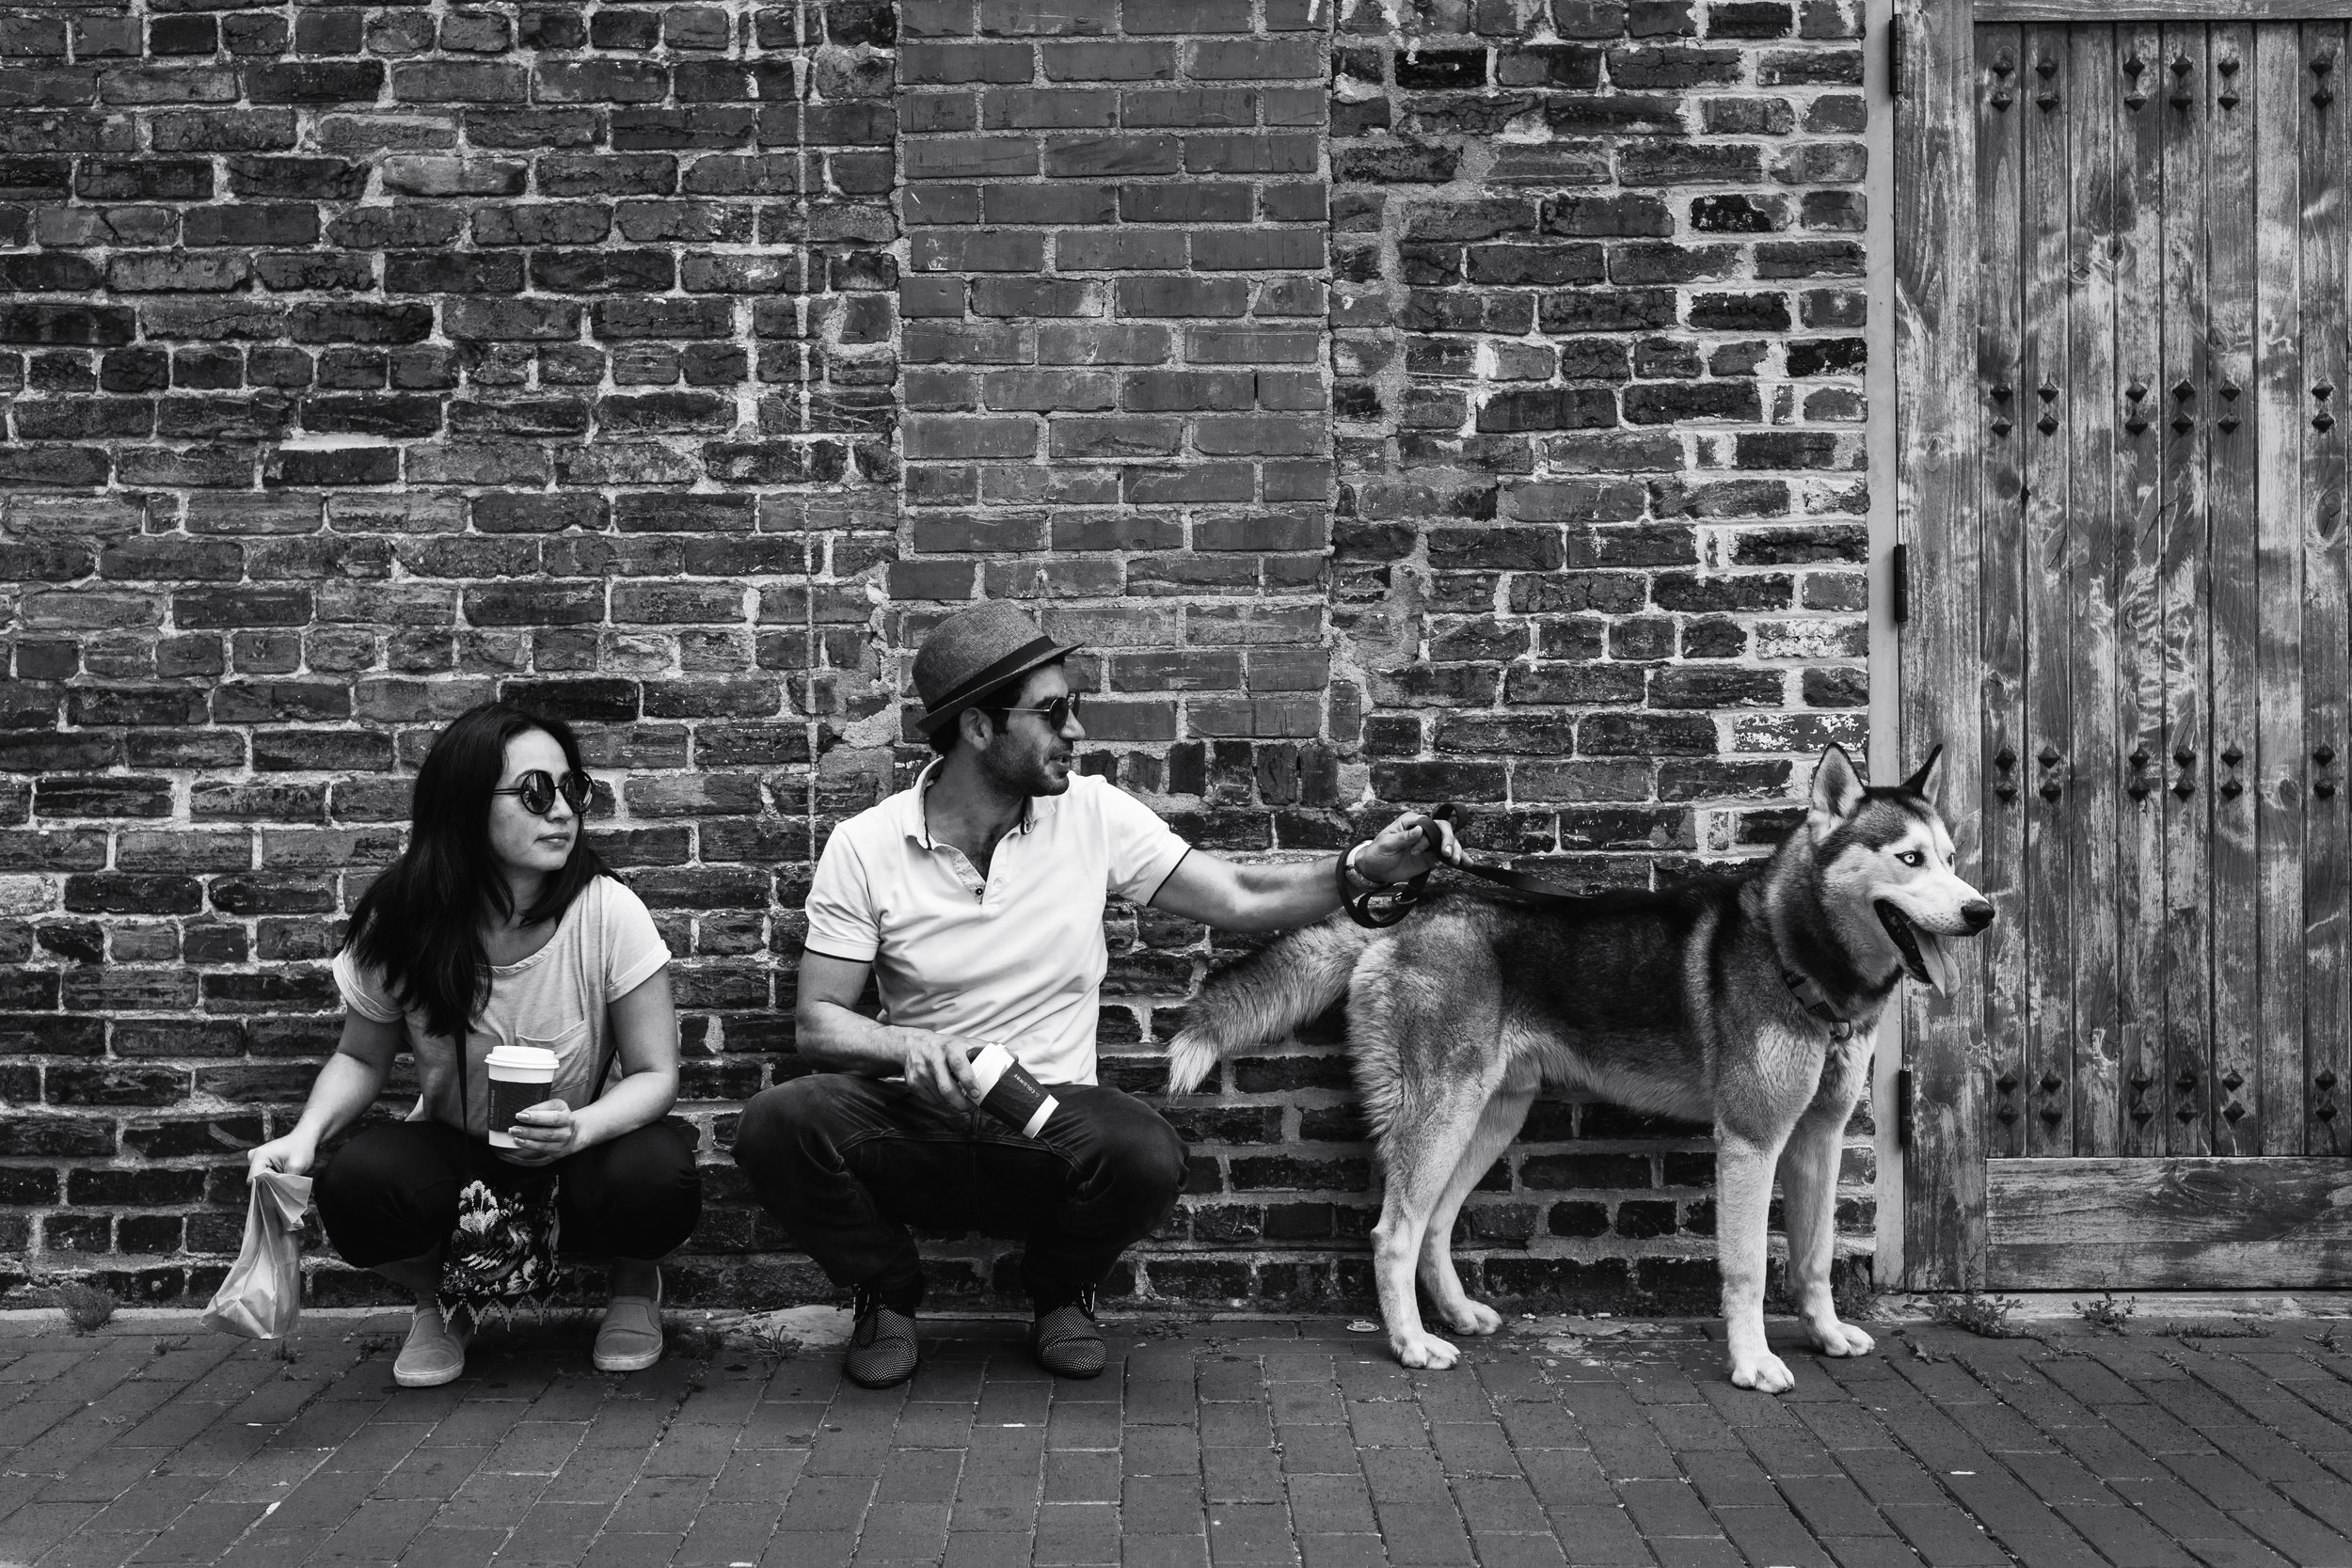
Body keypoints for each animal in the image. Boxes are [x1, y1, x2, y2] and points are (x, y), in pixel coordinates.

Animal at [1167, 742, 1994, 1391]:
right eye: (1910, 859)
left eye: (1953, 860)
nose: (1982, 911)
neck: (1800, 957)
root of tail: (1416, 903)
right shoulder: (1752, 1140)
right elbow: (1750, 1268)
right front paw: (1753, 1363)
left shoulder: (1818, 1137)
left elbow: (1816, 1256)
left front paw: (1825, 1334)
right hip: (1443, 1111)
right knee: (1393, 1233)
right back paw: (1412, 1345)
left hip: (1490, 1115)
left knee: (1433, 1226)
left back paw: (1456, 1315)